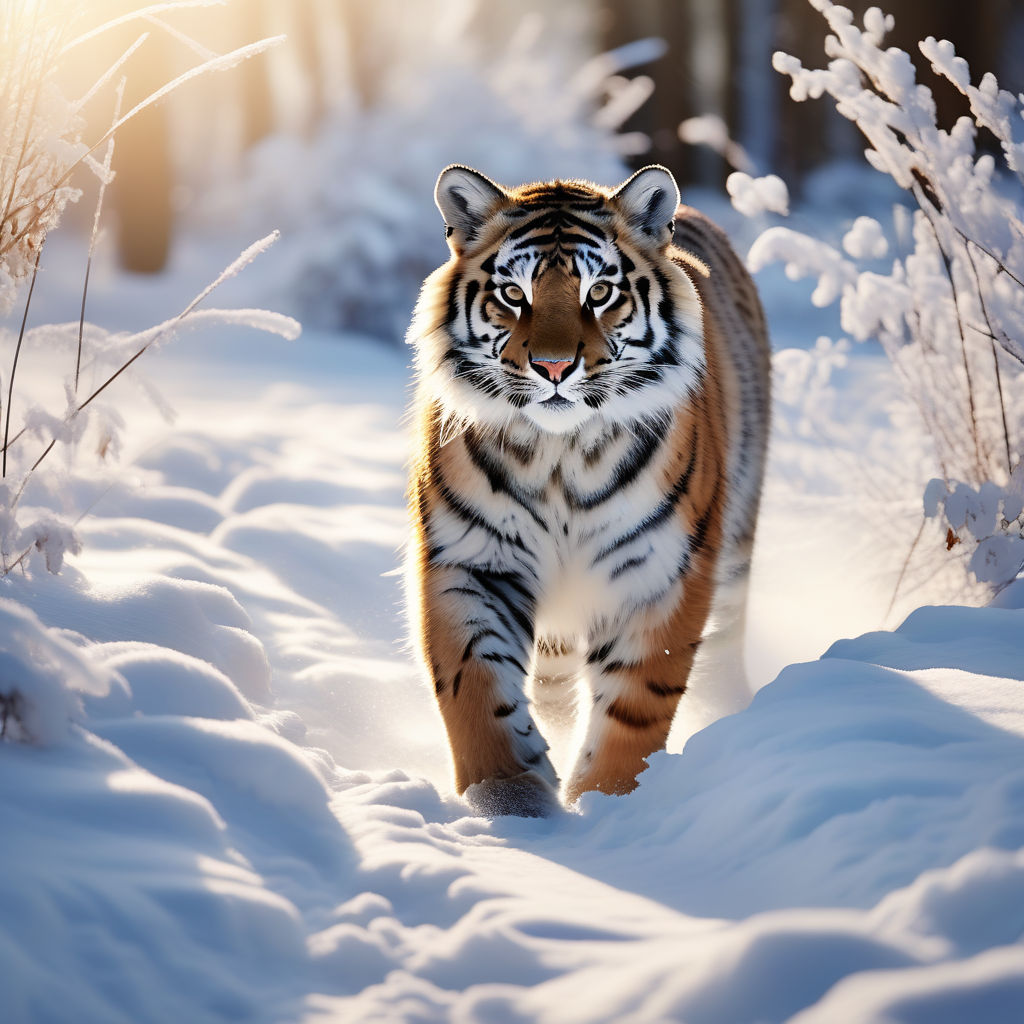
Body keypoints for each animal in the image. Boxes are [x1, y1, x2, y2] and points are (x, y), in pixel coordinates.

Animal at [401, 161, 770, 815]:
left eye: (599, 293)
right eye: (513, 294)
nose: (553, 368)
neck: (560, 457)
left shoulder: (657, 574)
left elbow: (636, 704)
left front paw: (607, 803)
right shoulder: (470, 559)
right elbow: (474, 683)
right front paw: (510, 801)